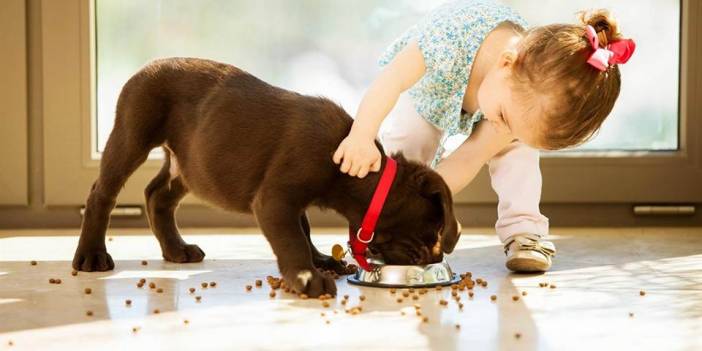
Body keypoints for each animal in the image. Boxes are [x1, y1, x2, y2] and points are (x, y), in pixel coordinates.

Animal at [74, 57, 462, 296]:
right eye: (432, 231)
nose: (432, 257)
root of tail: (147, 66)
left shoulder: (292, 200)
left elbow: (304, 229)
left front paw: (320, 261)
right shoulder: (276, 199)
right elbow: (292, 238)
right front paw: (308, 277)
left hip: (190, 164)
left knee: (158, 195)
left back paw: (176, 249)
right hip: (132, 135)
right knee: (101, 194)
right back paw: (91, 255)